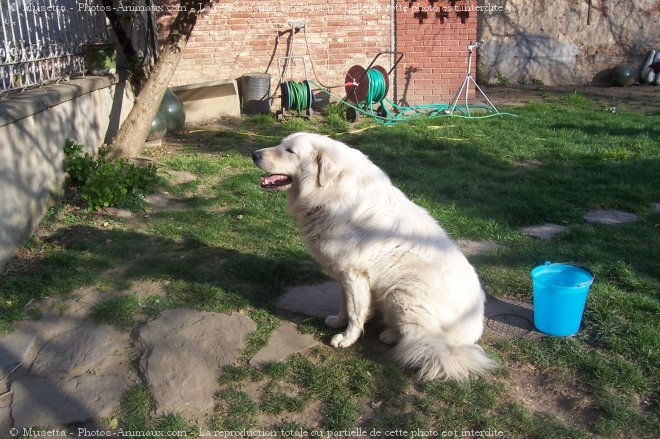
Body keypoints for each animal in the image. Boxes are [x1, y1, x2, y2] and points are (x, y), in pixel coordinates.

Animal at [253, 133, 496, 382]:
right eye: (281, 144)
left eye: (290, 151)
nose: (254, 154)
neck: (329, 190)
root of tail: (466, 337)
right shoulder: (343, 274)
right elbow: (344, 304)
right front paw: (337, 322)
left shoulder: (354, 274)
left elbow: (355, 310)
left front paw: (346, 338)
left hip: (401, 295)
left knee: (422, 340)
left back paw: (393, 336)